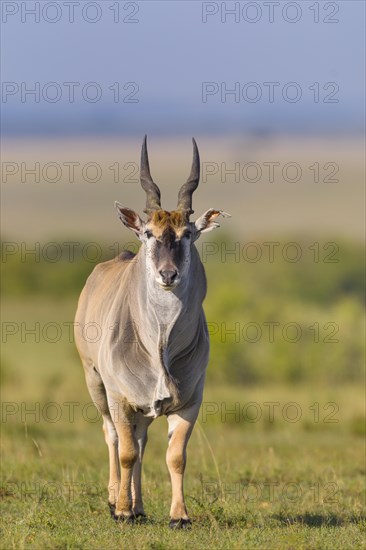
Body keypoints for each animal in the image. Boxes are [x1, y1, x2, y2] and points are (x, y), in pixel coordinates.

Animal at [74, 137, 229, 532]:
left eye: (187, 234)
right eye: (149, 233)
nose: (168, 274)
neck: (159, 345)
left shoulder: (189, 402)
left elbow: (175, 456)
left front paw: (179, 516)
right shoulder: (119, 397)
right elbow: (126, 452)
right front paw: (122, 511)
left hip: (142, 409)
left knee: (142, 441)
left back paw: (141, 507)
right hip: (96, 384)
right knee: (114, 437)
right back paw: (117, 500)